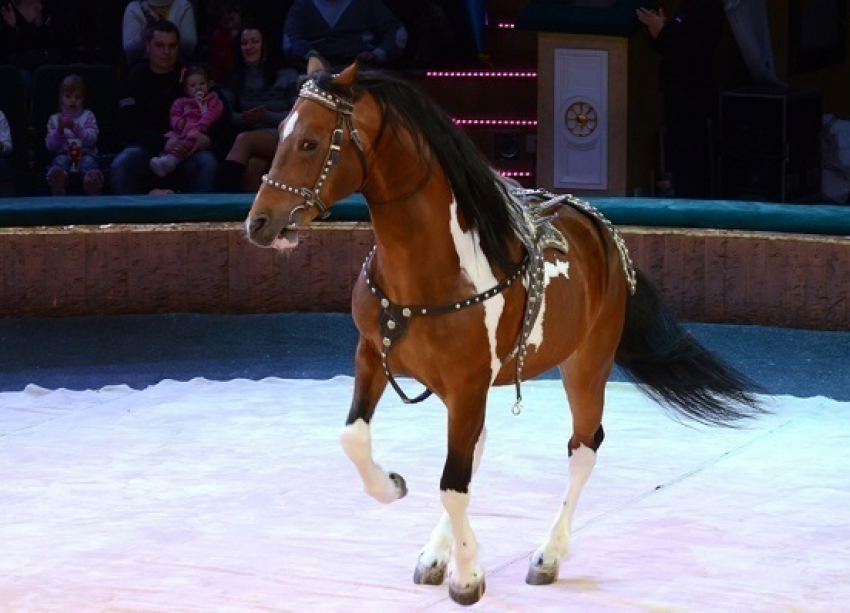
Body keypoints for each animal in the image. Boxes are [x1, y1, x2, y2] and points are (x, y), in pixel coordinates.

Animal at [240, 59, 760, 604]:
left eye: (310, 143)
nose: (260, 223)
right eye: (281, 131)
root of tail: (601, 230)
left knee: (582, 448)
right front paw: (394, 487)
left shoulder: (468, 382)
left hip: (587, 363)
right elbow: (356, 439)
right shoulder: (374, 356)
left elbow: (453, 484)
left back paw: (548, 555)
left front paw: (468, 575)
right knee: (479, 448)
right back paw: (435, 554)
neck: (428, 273)